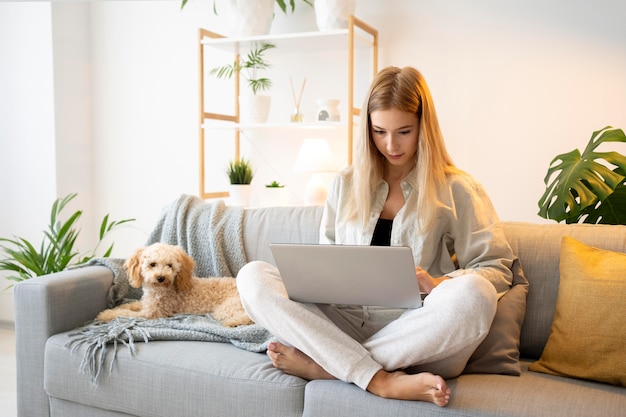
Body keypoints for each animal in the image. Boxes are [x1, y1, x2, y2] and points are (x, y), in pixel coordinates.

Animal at [96, 242, 252, 326]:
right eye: (152, 264)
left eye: (169, 266)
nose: (161, 277)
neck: (160, 290)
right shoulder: (146, 304)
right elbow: (130, 305)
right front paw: (116, 308)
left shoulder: (151, 314)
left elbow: (125, 313)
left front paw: (106, 315)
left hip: (226, 308)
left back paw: (234, 322)